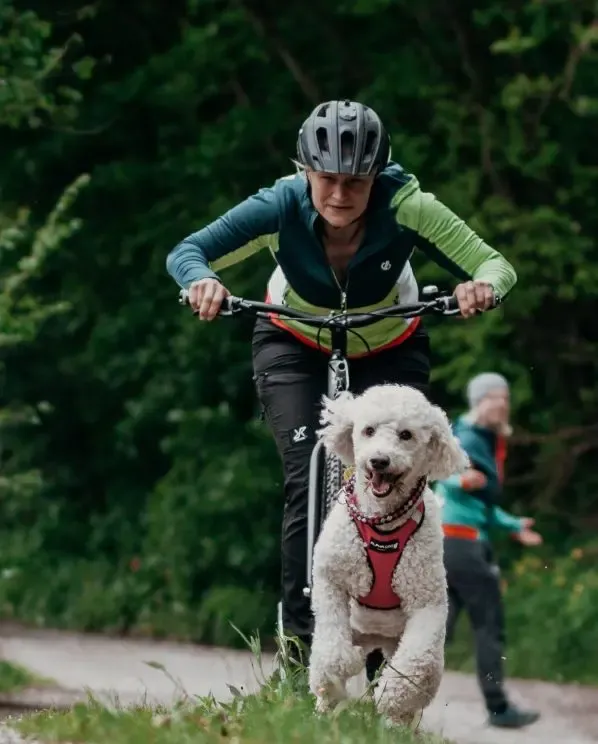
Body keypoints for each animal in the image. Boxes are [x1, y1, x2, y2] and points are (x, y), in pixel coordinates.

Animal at [310, 384, 468, 728]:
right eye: (368, 430)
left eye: (406, 434)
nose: (379, 460)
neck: (383, 523)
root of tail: (375, 637)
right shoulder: (330, 577)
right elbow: (331, 645)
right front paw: (343, 665)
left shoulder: (427, 600)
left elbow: (417, 664)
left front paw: (389, 698)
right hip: (356, 627)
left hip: (396, 638)